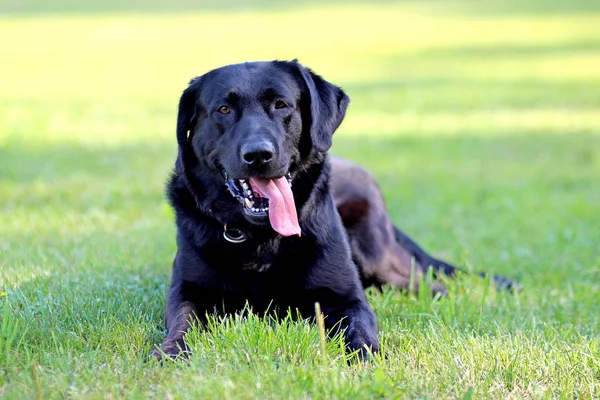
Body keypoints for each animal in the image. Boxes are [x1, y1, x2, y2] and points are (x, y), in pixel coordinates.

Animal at [155, 59, 516, 360]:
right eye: (223, 109)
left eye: (281, 105)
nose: (258, 154)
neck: (262, 238)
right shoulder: (188, 291)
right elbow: (182, 322)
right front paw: (171, 351)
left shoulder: (346, 298)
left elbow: (360, 328)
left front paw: (368, 356)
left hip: (375, 255)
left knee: (425, 283)